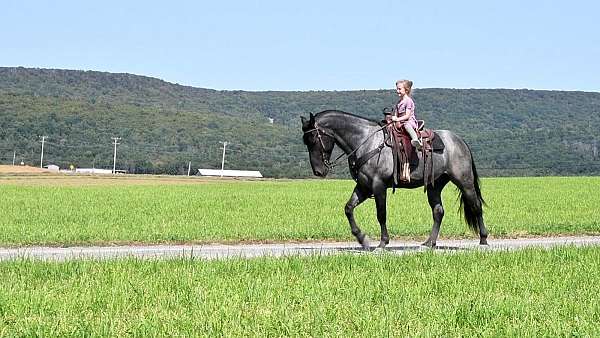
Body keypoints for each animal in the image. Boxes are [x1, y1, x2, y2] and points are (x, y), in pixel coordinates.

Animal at [300, 110, 488, 248]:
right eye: (306, 141)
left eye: (313, 138)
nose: (318, 171)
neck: (366, 142)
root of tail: (460, 141)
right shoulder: (363, 187)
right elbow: (348, 208)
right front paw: (362, 239)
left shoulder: (378, 186)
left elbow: (381, 214)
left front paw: (383, 242)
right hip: (435, 186)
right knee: (438, 211)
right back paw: (429, 243)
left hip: (465, 182)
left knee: (476, 206)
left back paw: (483, 239)